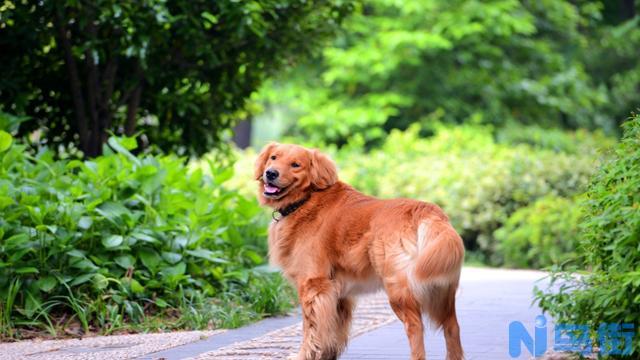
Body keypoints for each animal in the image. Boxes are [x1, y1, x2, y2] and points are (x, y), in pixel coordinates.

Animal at [255, 143, 464, 360]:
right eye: (273, 157)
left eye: (296, 165)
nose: (271, 173)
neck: (307, 199)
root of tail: (428, 211)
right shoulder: (337, 293)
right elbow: (333, 331)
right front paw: (327, 354)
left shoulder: (313, 285)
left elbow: (311, 329)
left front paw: (304, 355)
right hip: (442, 292)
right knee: (452, 327)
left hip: (399, 290)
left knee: (415, 326)